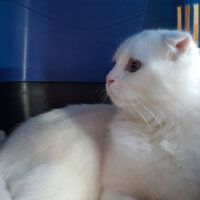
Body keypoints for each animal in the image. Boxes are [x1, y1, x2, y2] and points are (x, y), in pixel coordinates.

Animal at [0, 29, 200, 200]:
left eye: (133, 65)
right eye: (114, 63)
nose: (107, 78)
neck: (160, 131)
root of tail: (6, 150)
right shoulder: (116, 191)